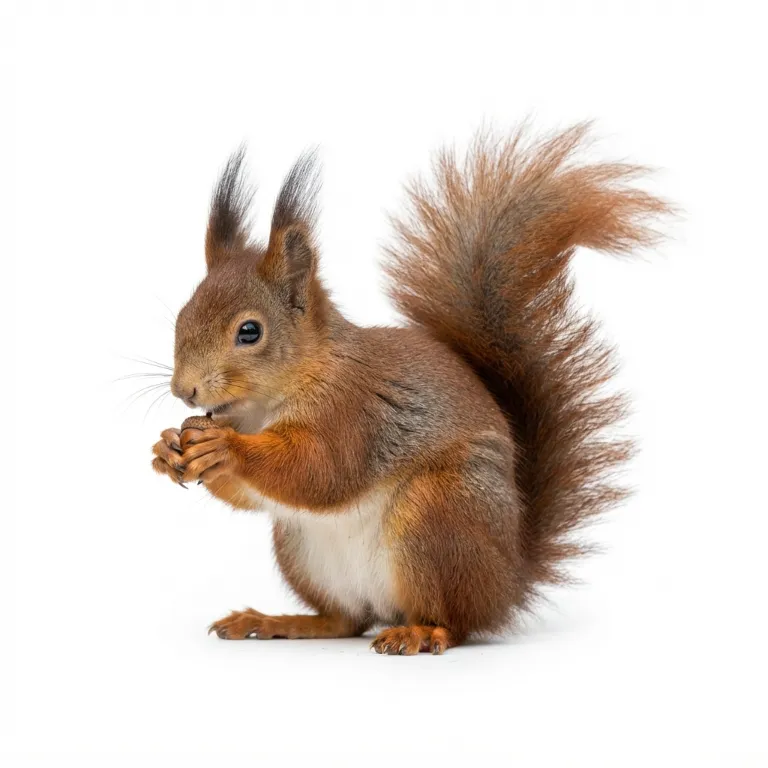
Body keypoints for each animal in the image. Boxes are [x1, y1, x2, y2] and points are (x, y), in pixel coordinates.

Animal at [151, 123, 669, 654]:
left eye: (250, 332)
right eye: (182, 316)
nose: (184, 390)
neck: (266, 405)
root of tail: (508, 582)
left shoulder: (353, 411)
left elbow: (320, 470)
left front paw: (224, 446)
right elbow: (256, 494)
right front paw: (168, 448)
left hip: (436, 515)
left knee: (454, 622)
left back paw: (420, 632)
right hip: (301, 549)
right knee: (346, 620)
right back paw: (278, 620)